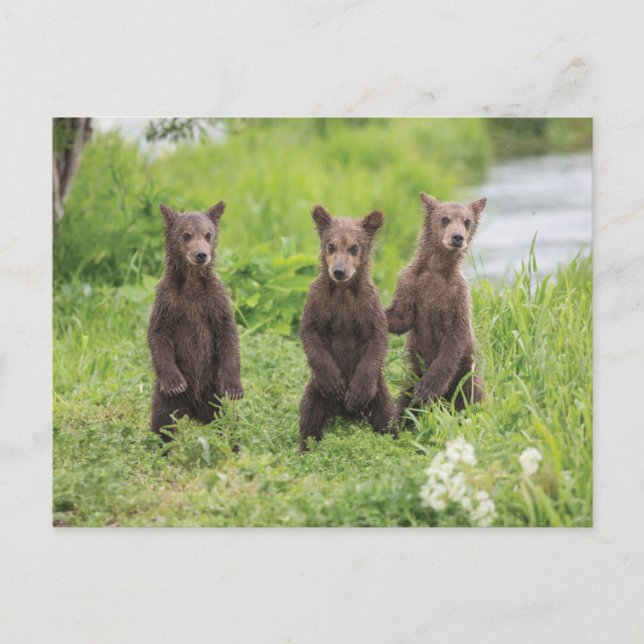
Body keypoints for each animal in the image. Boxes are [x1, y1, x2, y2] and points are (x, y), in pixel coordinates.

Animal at [147, 201, 243, 442]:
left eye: (208, 234)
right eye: (186, 235)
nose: (201, 254)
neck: (191, 283)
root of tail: (194, 412)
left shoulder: (215, 300)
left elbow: (228, 333)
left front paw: (235, 387)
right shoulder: (168, 300)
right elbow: (158, 334)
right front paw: (175, 383)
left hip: (214, 391)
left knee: (228, 421)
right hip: (167, 400)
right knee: (163, 424)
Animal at [298, 204, 396, 452]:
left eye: (354, 247)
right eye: (331, 245)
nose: (339, 271)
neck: (342, 290)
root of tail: (343, 415)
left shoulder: (367, 305)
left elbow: (377, 339)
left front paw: (355, 395)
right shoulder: (318, 301)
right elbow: (310, 334)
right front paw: (335, 384)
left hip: (379, 393)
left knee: (387, 418)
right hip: (315, 392)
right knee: (309, 417)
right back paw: (306, 449)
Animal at [385, 192, 486, 420]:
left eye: (467, 221)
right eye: (445, 219)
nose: (457, 237)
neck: (436, 269)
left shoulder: (456, 296)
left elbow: (454, 338)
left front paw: (427, 389)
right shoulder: (410, 284)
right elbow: (401, 317)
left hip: (466, 373)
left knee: (471, 396)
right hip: (413, 373)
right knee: (405, 401)